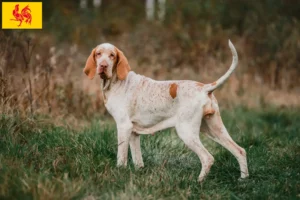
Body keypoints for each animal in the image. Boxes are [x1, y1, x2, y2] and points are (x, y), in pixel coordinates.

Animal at [82, 39, 248, 182]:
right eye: (98, 54)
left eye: (112, 55)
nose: (103, 66)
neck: (115, 82)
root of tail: (205, 87)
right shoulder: (134, 133)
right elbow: (138, 160)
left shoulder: (123, 127)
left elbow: (121, 157)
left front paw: (119, 173)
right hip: (213, 129)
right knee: (240, 151)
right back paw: (243, 180)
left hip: (186, 131)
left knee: (207, 158)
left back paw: (198, 182)